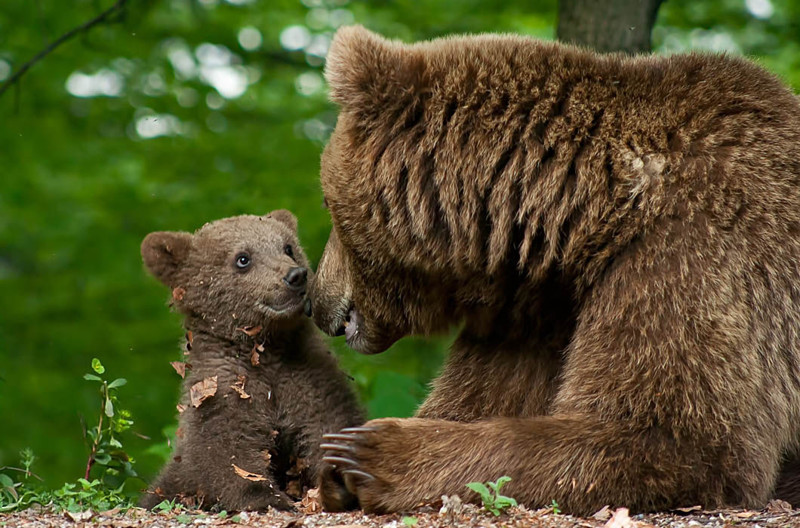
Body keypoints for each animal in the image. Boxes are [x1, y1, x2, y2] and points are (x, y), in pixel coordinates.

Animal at [310, 25, 800, 516]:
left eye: (328, 208)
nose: (318, 302)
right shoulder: (538, 313)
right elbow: (479, 396)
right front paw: (335, 466)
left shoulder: (694, 254)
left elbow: (680, 438)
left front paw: (368, 453)